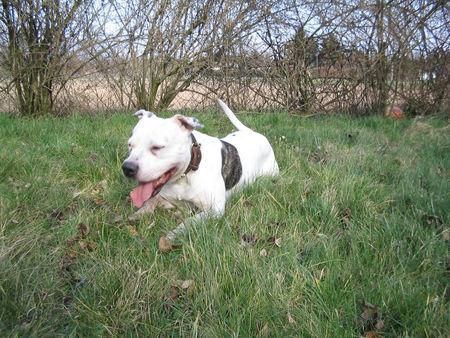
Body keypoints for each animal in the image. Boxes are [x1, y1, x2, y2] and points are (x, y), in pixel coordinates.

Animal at [123, 99, 278, 242]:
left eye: (157, 147)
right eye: (130, 145)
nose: (127, 168)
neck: (186, 175)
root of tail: (253, 133)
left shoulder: (214, 210)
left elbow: (188, 222)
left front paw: (172, 235)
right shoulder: (167, 199)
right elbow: (150, 202)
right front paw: (137, 214)